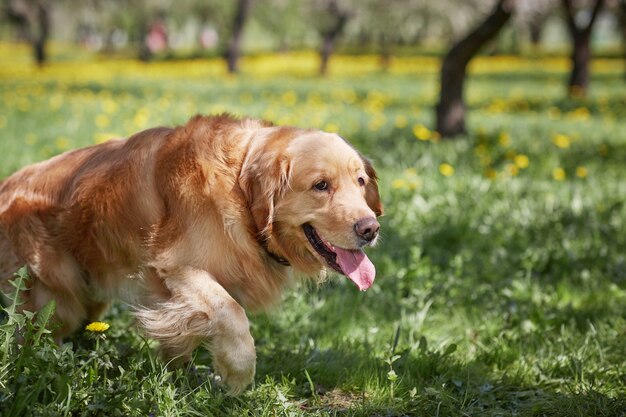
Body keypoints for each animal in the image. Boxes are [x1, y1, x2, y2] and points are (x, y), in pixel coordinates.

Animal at [0, 113, 380, 394]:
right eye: (321, 185)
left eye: (360, 181)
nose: (370, 229)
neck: (238, 186)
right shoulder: (178, 267)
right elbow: (232, 313)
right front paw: (237, 375)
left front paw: (178, 375)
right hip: (55, 297)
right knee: (32, 336)